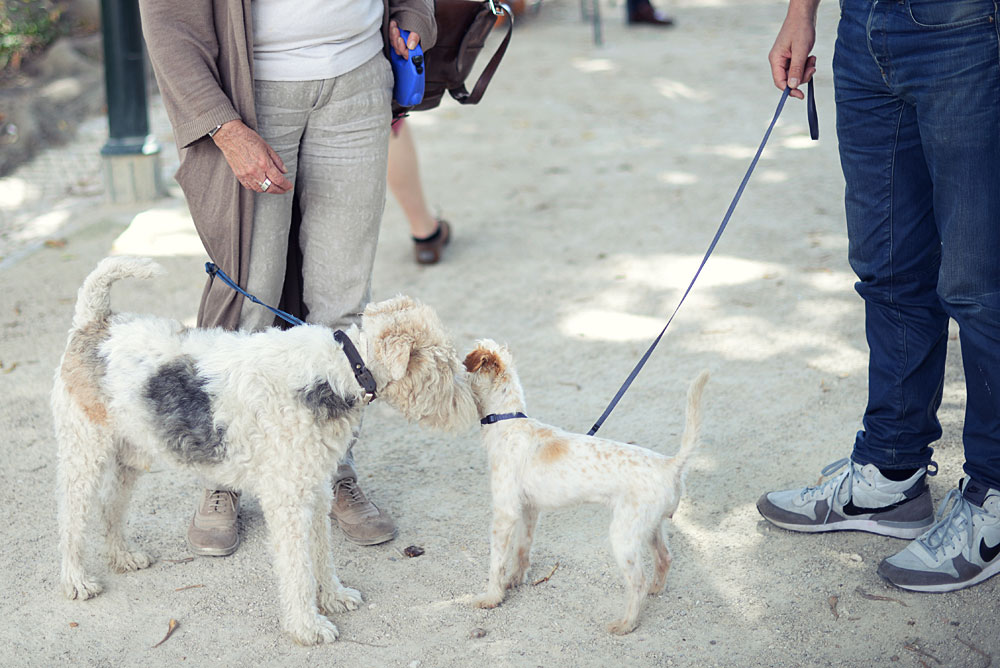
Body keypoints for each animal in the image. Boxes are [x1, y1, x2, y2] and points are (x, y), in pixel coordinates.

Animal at [53, 256, 476, 640]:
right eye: (443, 363)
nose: (474, 408)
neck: (339, 370)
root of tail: (95, 322)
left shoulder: (315, 491)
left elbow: (321, 553)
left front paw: (334, 597)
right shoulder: (287, 500)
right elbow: (298, 568)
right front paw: (307, 627)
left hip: (130, 453)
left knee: (110, 507)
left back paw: (124, 557)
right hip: (84, 452)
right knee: (72, 520)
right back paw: (78, 582)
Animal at [464, 342, 708, 636]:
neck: (507, 422)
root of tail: (670, 465)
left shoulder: (504, 513)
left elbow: (496, 562)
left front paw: (491, 597)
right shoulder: (529, 510)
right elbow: (523, 550)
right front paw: (515, 580)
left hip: (623, 537)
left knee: (637, 582)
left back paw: (625, 624)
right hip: (650, 529)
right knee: (664, 558)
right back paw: (655, 589)